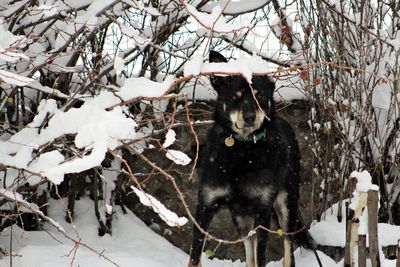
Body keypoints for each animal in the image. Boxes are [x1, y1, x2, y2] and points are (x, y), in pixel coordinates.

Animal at [188, 50, 322, 267]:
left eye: (259, 96)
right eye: (235, 97)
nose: (250, 117)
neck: (243, 149)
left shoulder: (262, 211)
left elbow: (261, 256)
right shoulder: (206, 206)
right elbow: (194, 256)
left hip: (287, 204)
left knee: (288, 246)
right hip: (240, 215)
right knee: (248, 248)